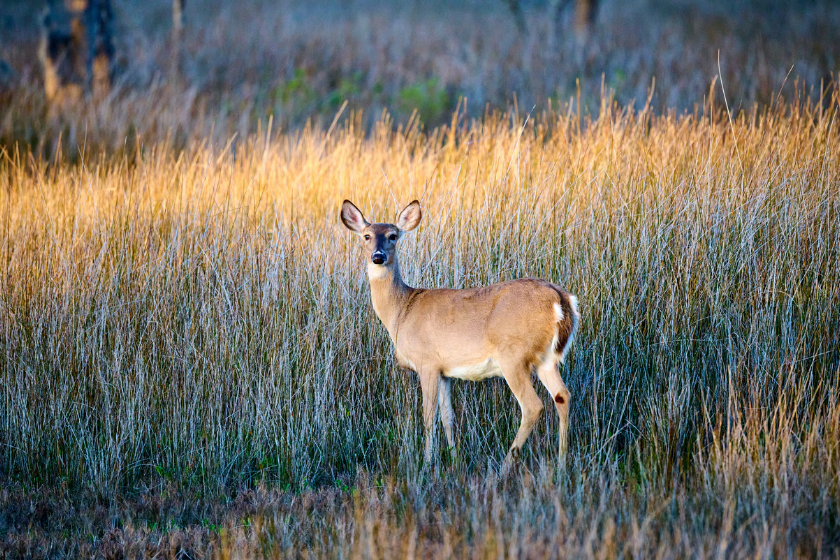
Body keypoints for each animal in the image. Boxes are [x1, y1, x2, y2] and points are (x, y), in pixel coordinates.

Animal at [340, 199, 576, 470]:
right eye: (366, 236)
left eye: (393, 235)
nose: (378, 257)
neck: (401, 311)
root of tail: (561, 299)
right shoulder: (445, 371)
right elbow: (447, 416)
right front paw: (454, 459)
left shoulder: (427, 362)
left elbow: (428, 415)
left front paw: (427, 463)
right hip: (546, 360)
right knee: (562, 396)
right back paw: (561, 463)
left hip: (514, 356)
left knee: (533, 406)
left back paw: (504, 466)